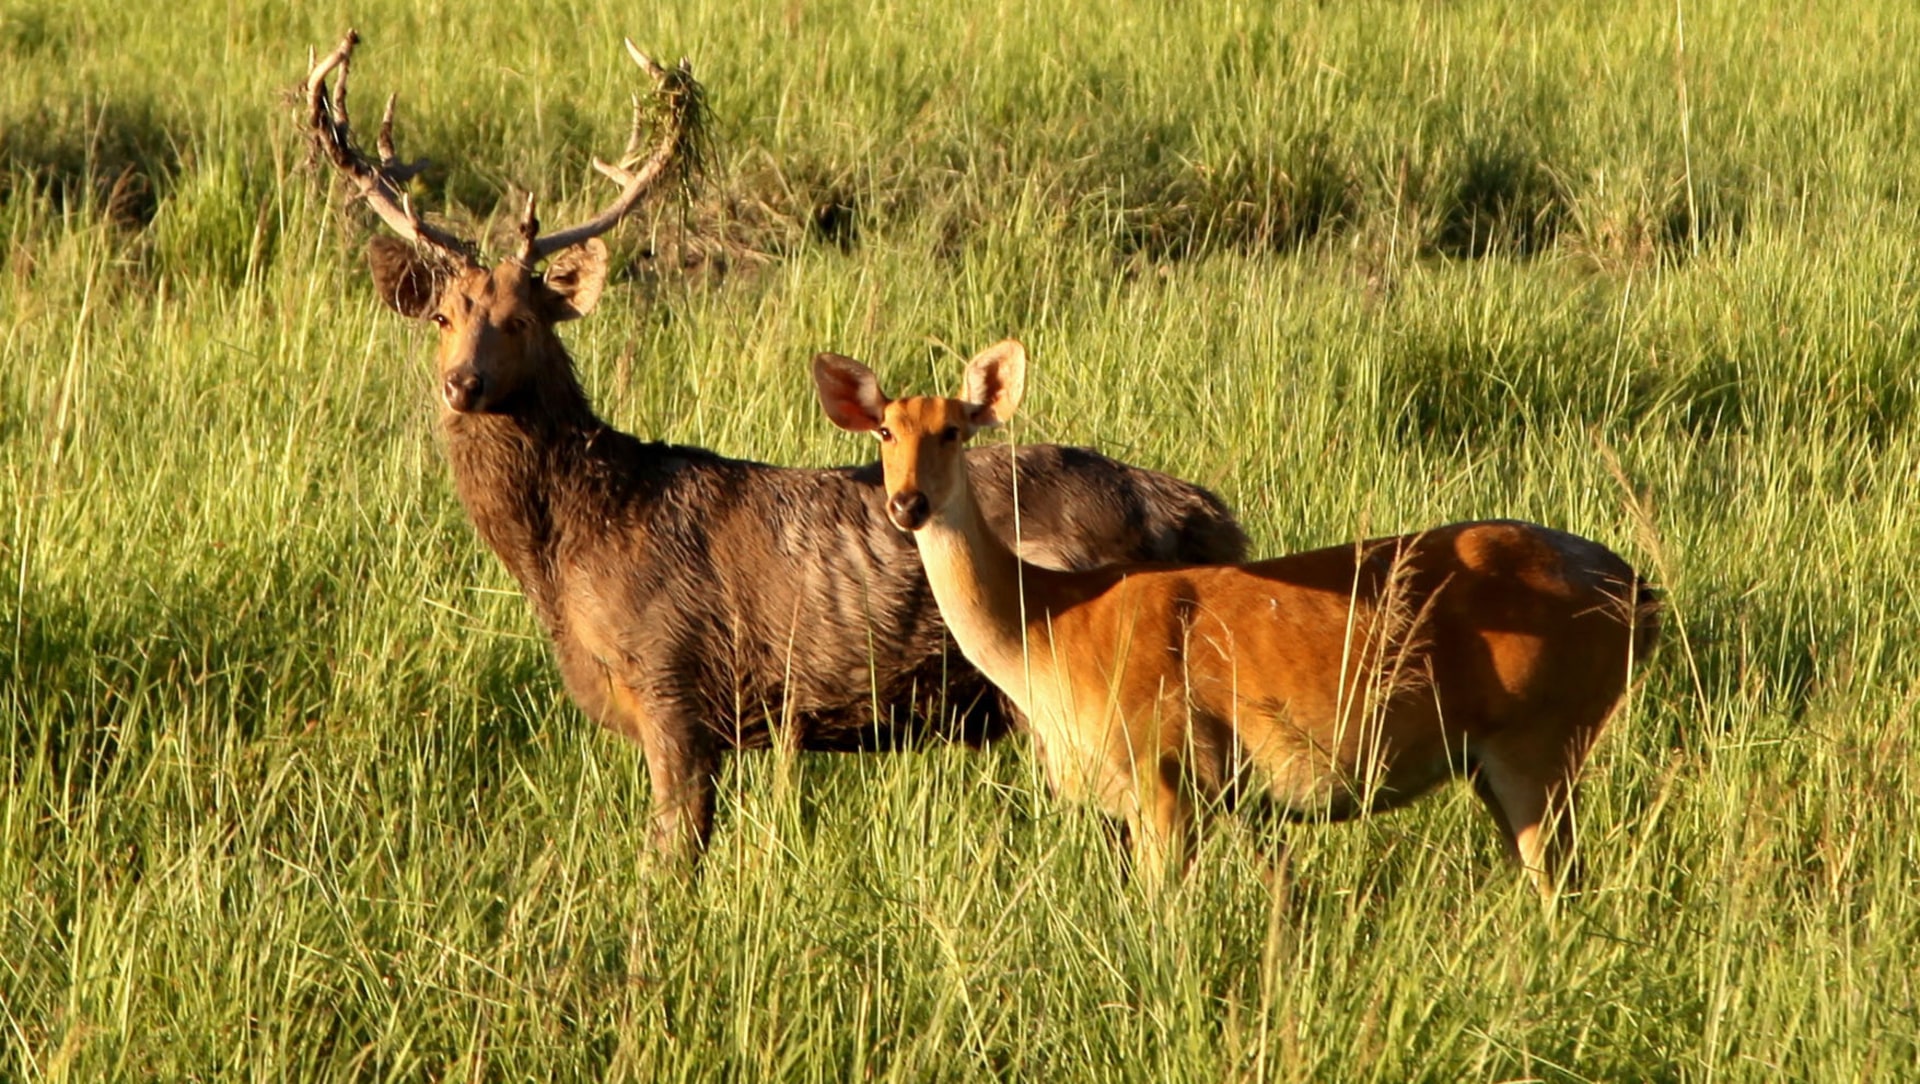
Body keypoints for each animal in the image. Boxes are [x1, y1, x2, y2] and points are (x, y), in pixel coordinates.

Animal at [302, 33, 1249, 869]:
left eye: (524, 318)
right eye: (442, 315)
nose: (461, 383)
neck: (575, 547)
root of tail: (1210, 516)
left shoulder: (677, 684)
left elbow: (667, 866)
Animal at [814, 340, 1662, 898]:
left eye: (953, 429)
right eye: (885, 431)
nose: (908, 503)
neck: (1049, 631)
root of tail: (1635, 590)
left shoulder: (1164, 768)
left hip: (1540, 734)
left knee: (1561, 883)